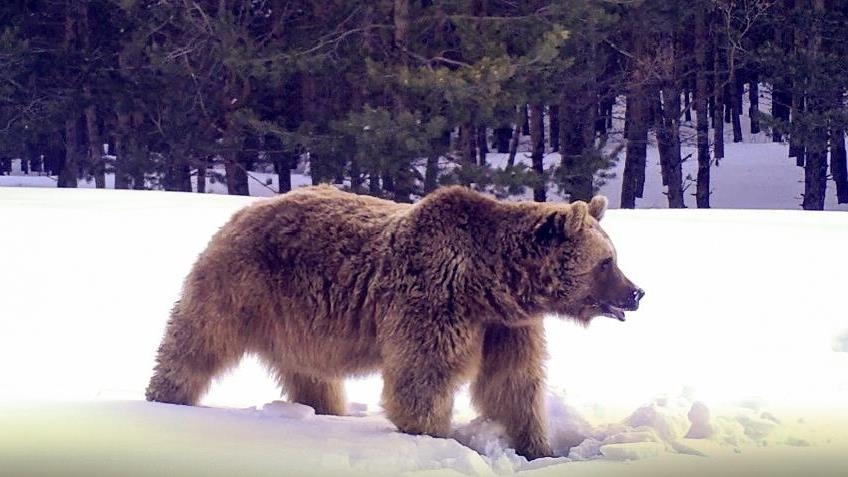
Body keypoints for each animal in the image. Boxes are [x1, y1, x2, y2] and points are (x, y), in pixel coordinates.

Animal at [149, 185, 644, 458]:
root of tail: (243, 211)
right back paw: (165, 398)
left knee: (310, 374)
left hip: (299, 322)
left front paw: (538, 449)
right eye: (607, 261)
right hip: (243, 287)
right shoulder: (435, 304)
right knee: (197, 340)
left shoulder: (506, 329)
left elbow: (513, 385)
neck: (491, 284)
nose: (637, 293)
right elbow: (423, 379)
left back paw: (326, 410)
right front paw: (435, 437)